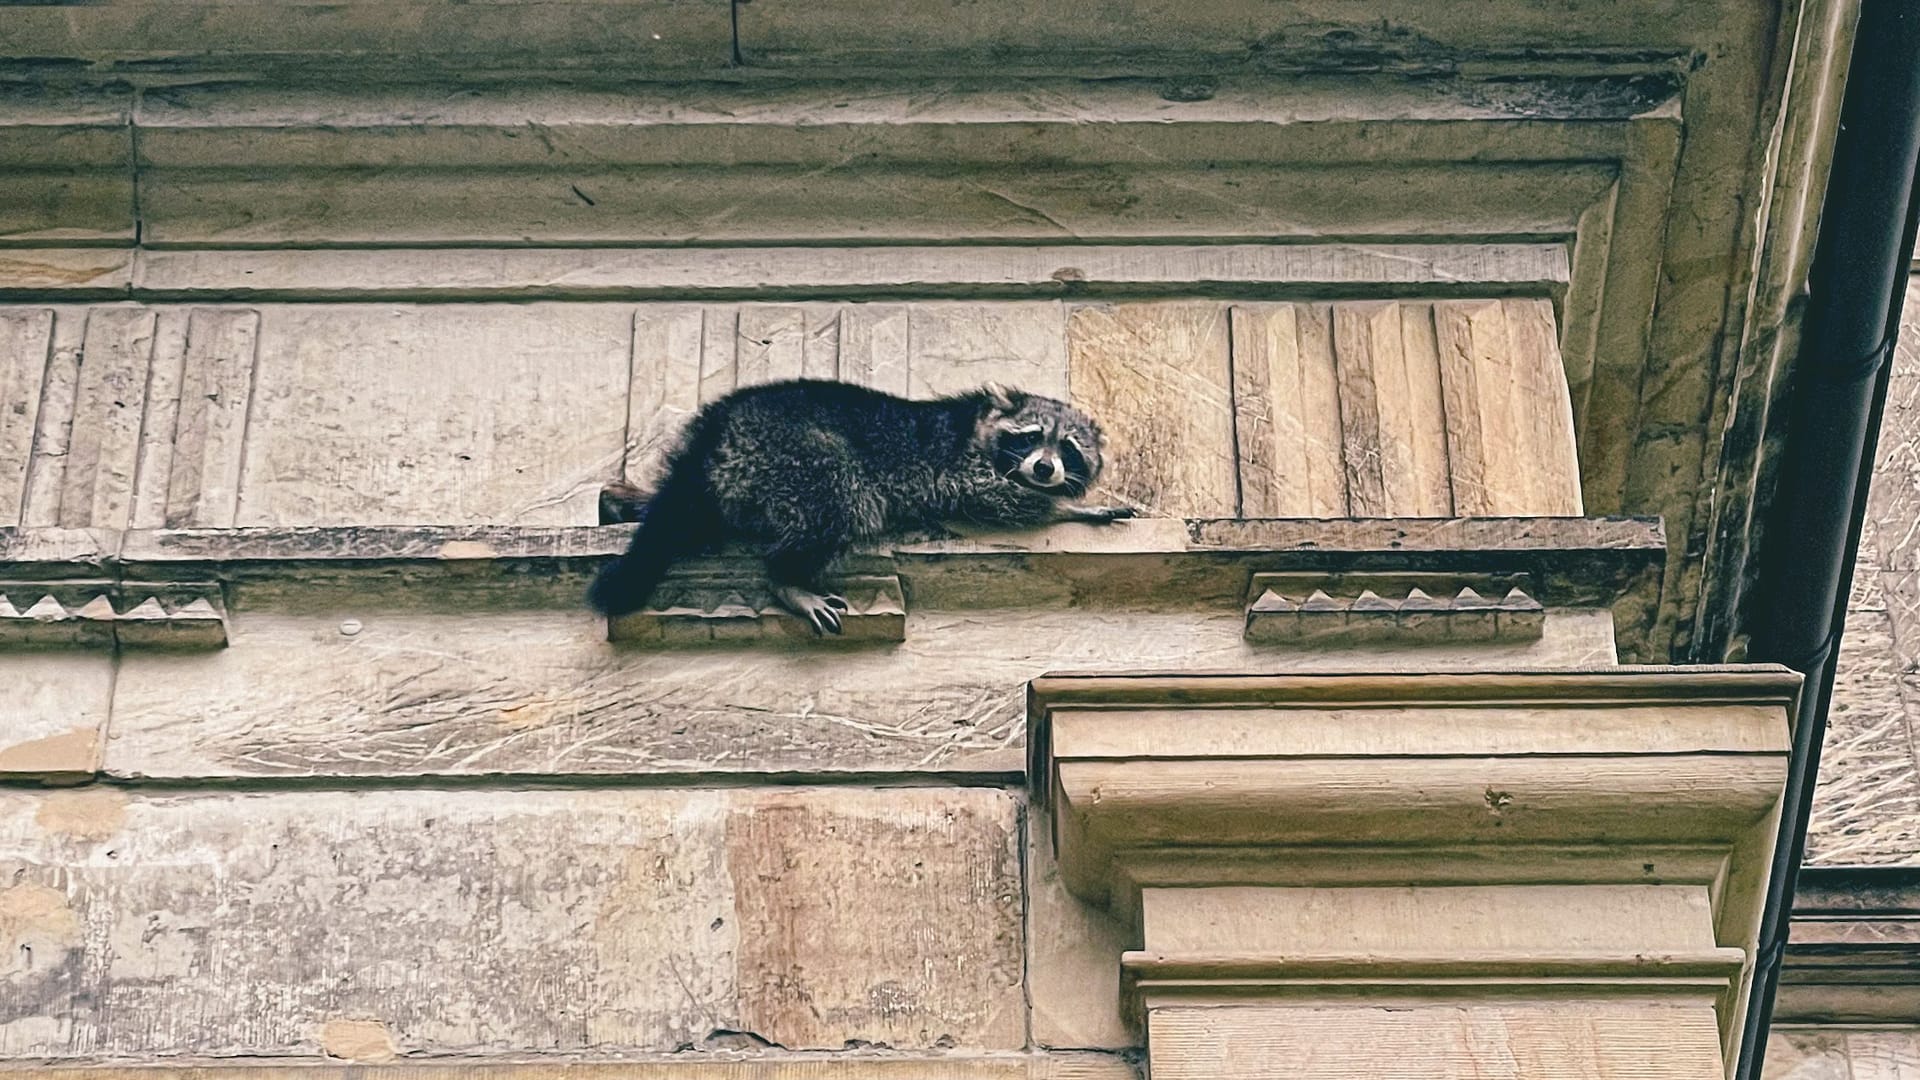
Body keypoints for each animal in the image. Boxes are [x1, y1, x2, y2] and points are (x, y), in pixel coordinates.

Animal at [579, 378, 1121, 630]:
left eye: (1068, 448)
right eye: (1030, 437)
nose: (1045, 469)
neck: (979, 423)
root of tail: (719, 425)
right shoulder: (959, 466)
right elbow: (991, 497)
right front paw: (1071, 508)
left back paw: (624, 503)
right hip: (793, 451)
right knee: (840, 497)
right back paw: (789, 578)